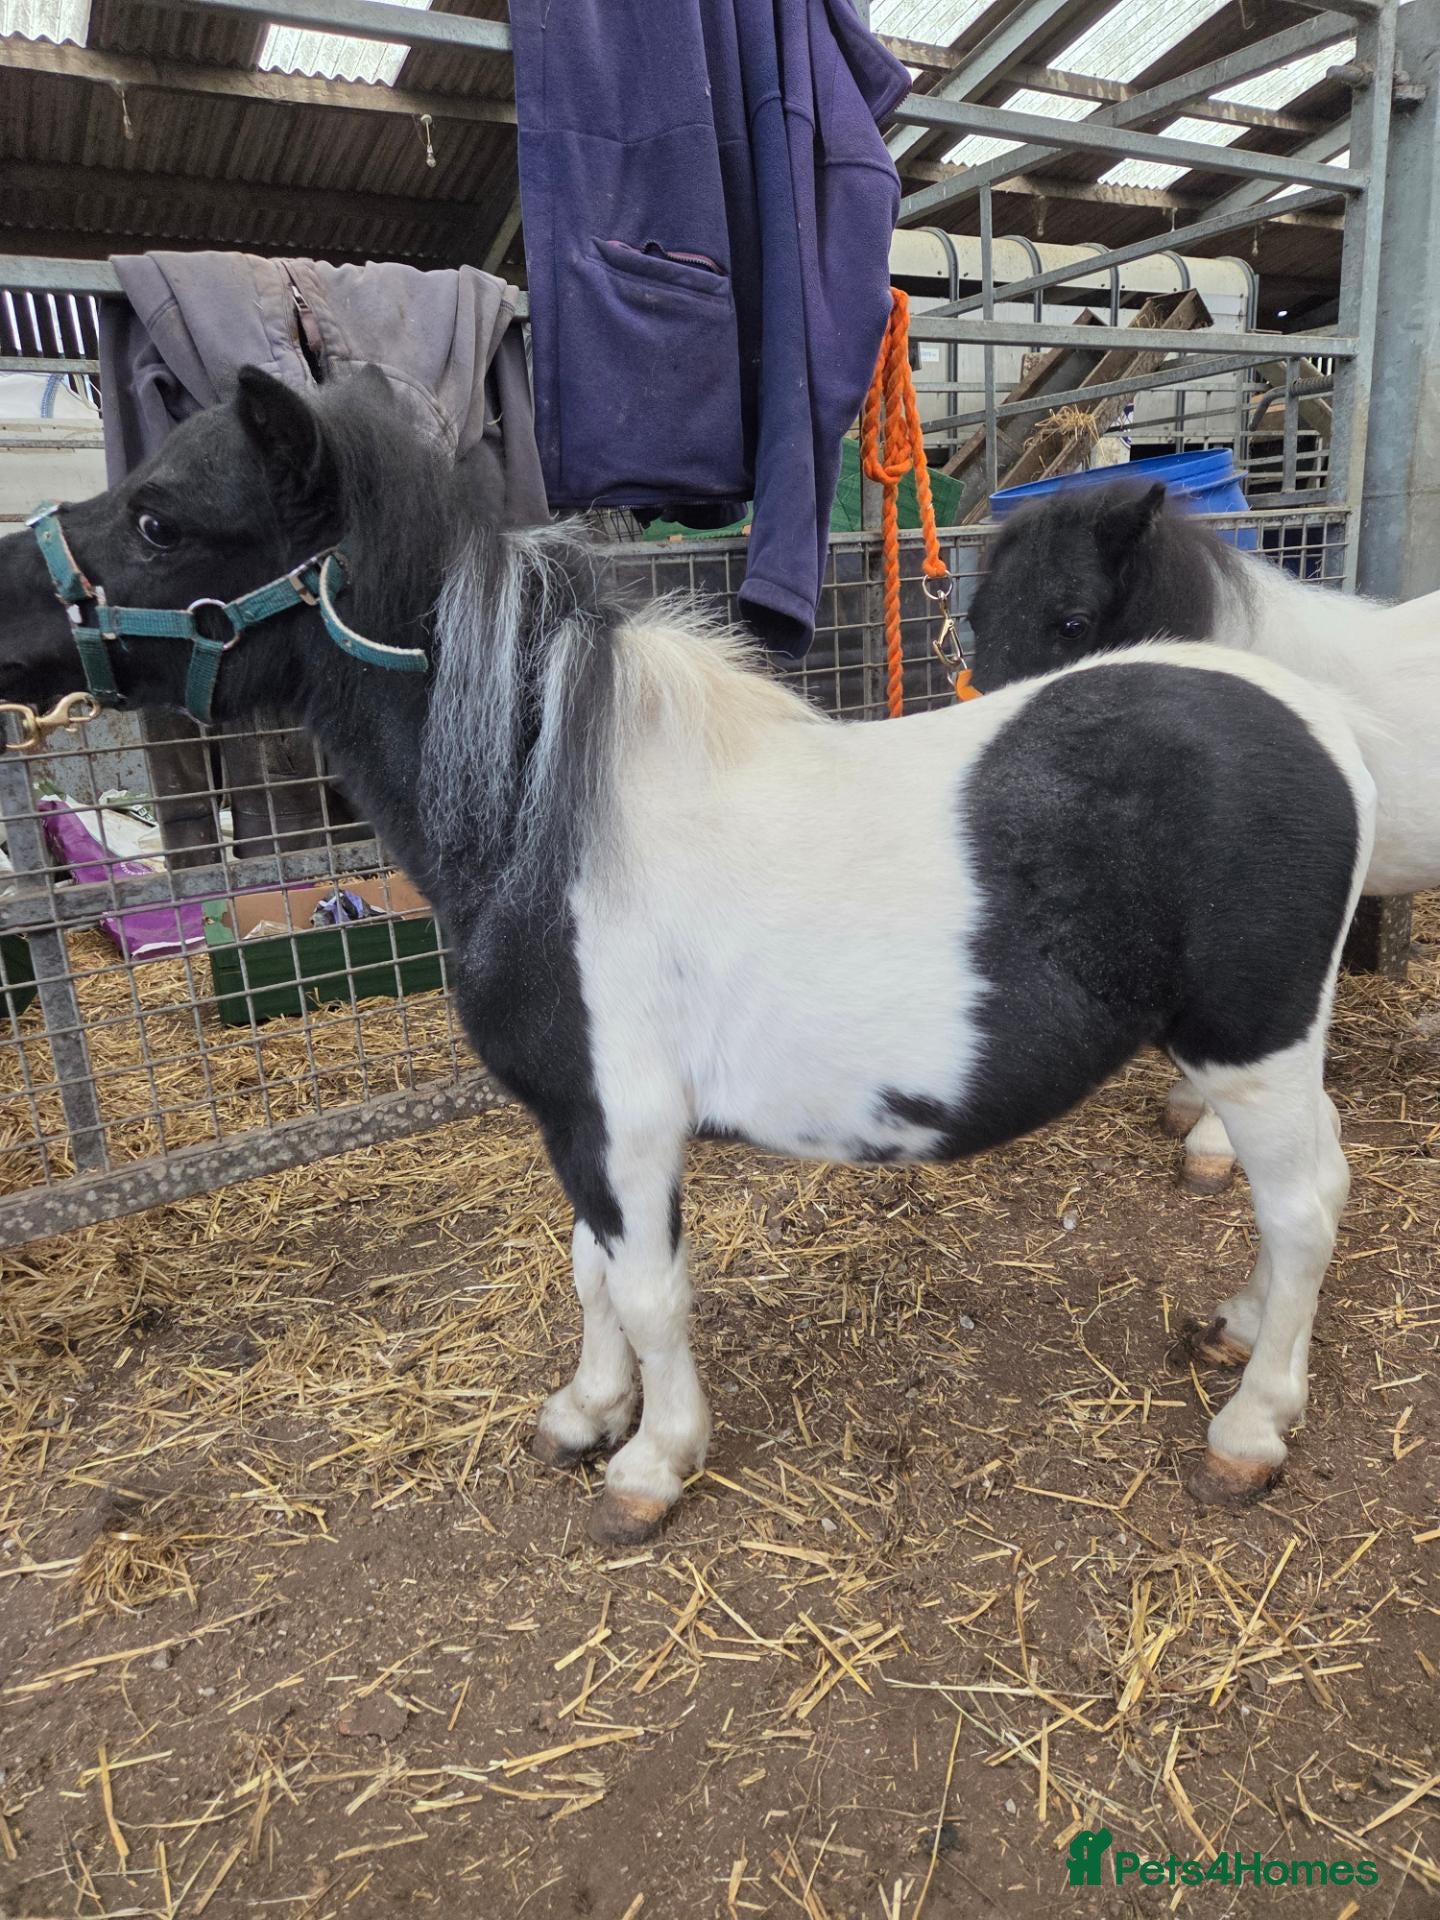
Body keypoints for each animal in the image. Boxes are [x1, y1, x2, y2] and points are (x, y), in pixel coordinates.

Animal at [0, 368, 1376, 1537]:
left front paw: (653, 1462)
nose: (1, 593)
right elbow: (591, 1269)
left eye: (162, 519)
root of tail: (1324, 728)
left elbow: (651, 1288)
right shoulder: (580, 1121)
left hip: (1252, 1049)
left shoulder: (621, 1124)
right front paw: (585, 1413)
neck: (548, 815)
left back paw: (1251, 1428)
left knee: (1305, 1206)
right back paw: (1239, 1332)